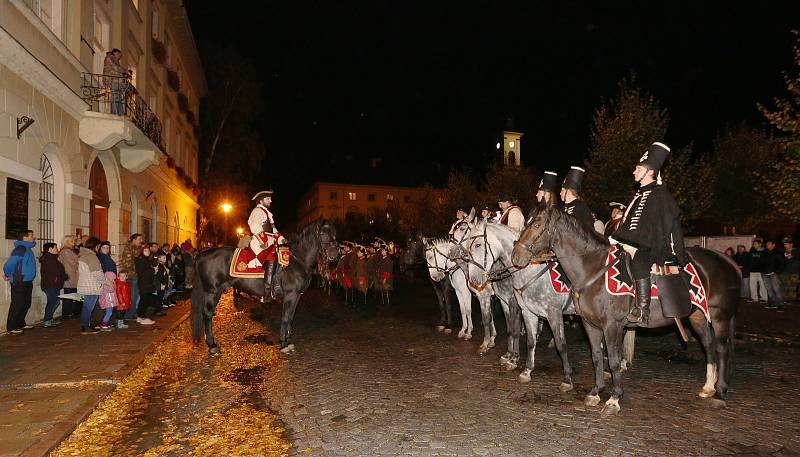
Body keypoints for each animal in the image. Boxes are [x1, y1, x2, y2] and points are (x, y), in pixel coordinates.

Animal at [192, 216, 340, 352]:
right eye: (323, 232)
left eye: (334, 232)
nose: (335, 255)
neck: (298, 260)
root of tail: (202, 253)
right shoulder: (290, 295)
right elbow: (285, 317)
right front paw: (283, 343)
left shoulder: (297, 296)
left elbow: (291, 318)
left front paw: (287, 340)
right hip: (212, 292)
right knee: (207, 315)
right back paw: (212, 345)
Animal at [510, 203, 740, 414]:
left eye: (536, 224)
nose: (516, 256)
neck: (593, 269)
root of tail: (728, 261)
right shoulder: (589, 324)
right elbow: (596, 355)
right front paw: (596, 391)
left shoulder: (610, 325)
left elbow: (612, 359)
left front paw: (614, 398)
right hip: (698, 316)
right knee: (708, 345)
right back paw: (708, 387)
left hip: (720, 317)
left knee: (721, 349)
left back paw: (720, 392)